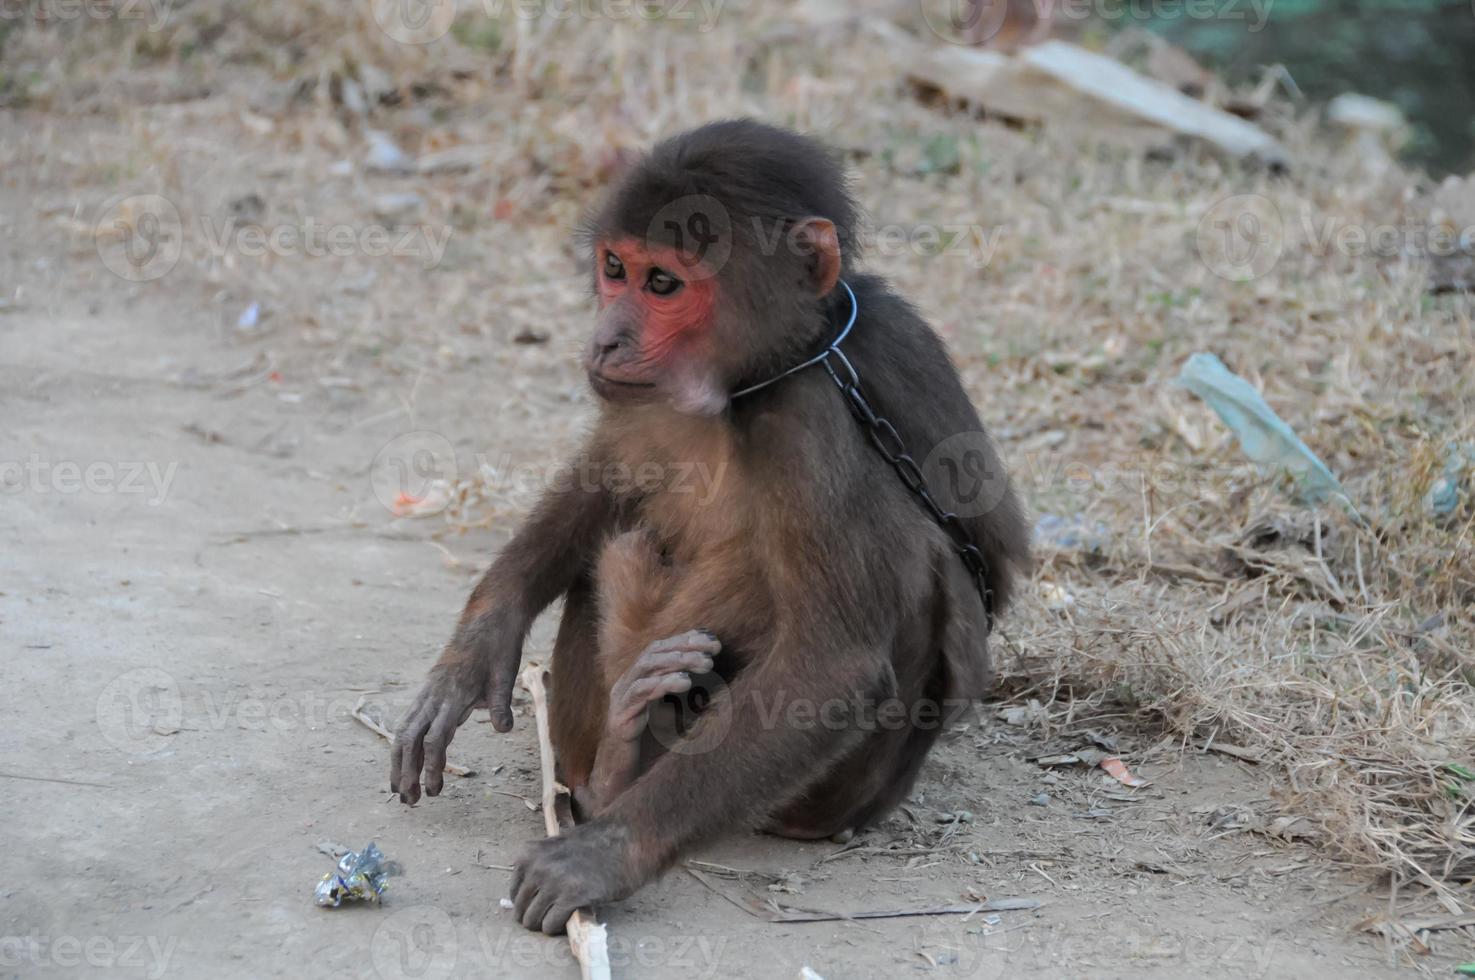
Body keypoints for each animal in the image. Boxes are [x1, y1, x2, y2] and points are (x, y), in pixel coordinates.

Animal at [398, 120, 1032, 932]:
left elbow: (835, 665)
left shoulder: (805, 416)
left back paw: (618, 782)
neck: (755, 377)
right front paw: (478, 645)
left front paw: (608, 854)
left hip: (833, 794)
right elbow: (602, 484)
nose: (605, 340)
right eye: (615, 268)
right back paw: (613, 757)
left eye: (663, 284)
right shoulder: (640, 393)